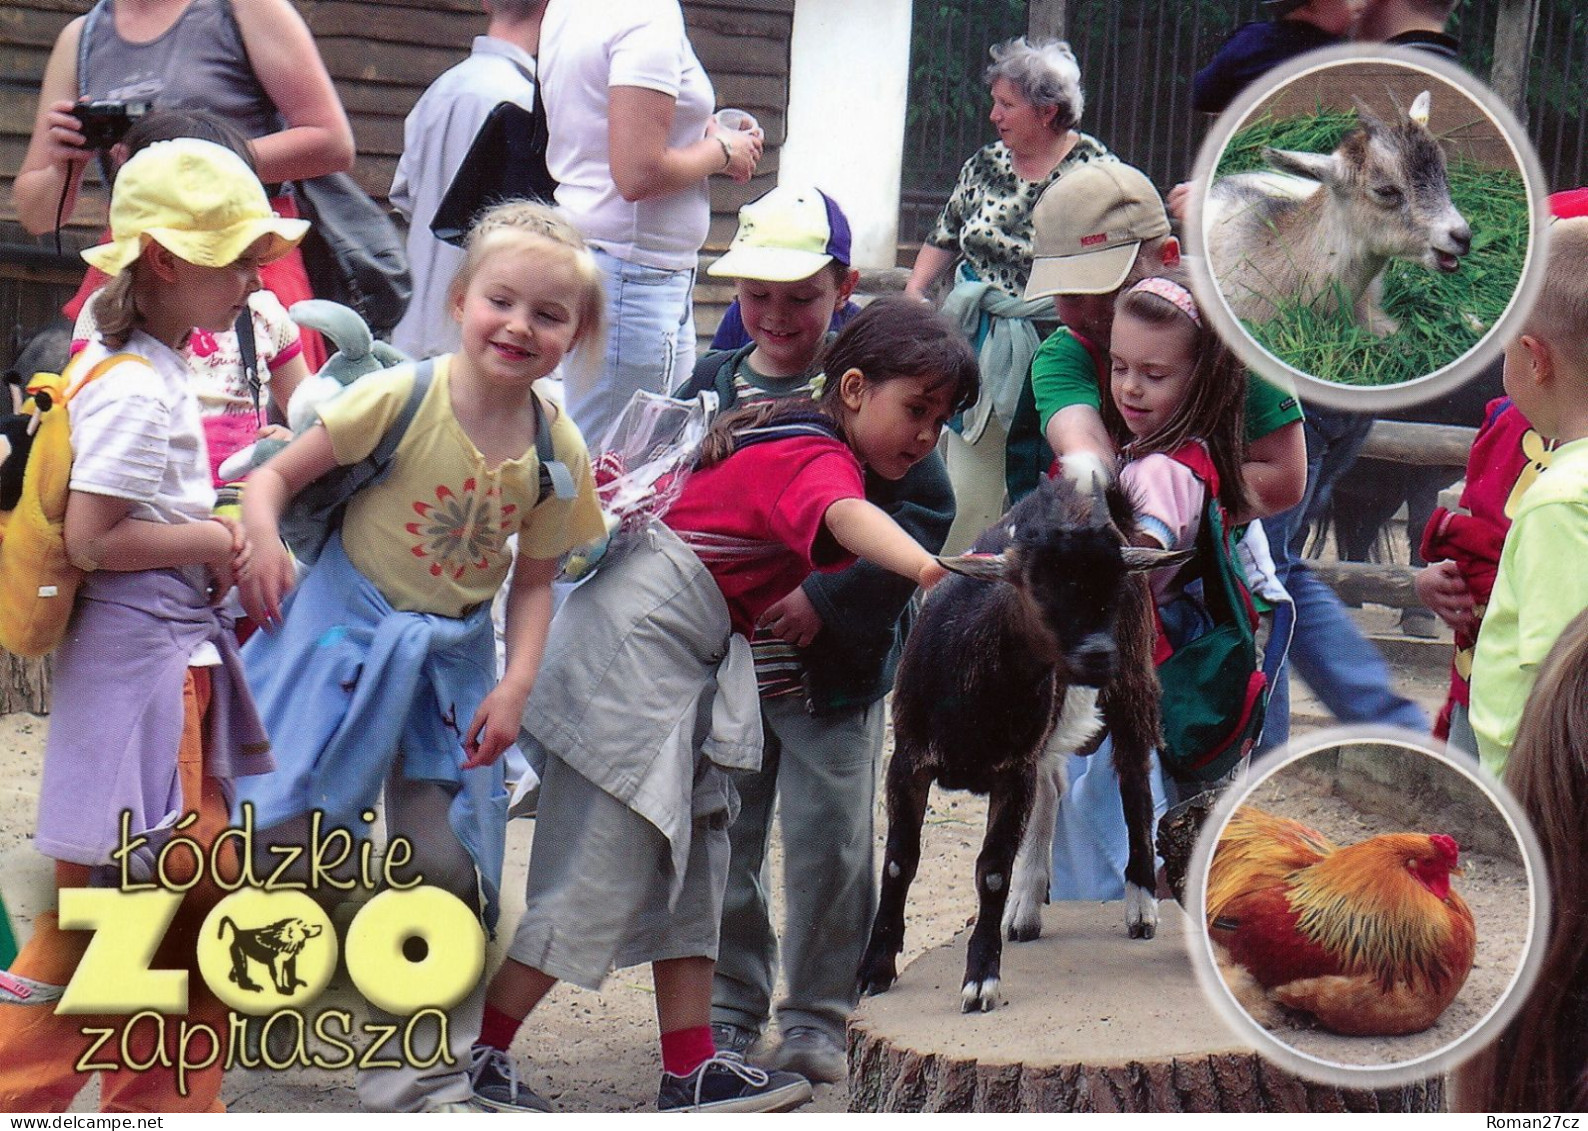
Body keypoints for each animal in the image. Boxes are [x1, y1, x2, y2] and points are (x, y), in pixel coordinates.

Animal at [863, 454, 1187, 1010]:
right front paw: (875, 970)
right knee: (1053, 787)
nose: (1097, 655)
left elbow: (992, 870)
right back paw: (1027, 909)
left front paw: (980, 982)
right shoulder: (908, 760)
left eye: (1111, 588)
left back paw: (1140, 905)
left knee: (1133, 782)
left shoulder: (1010, 771)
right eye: (1037, 586)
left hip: (1133, 683)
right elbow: (899, 863)